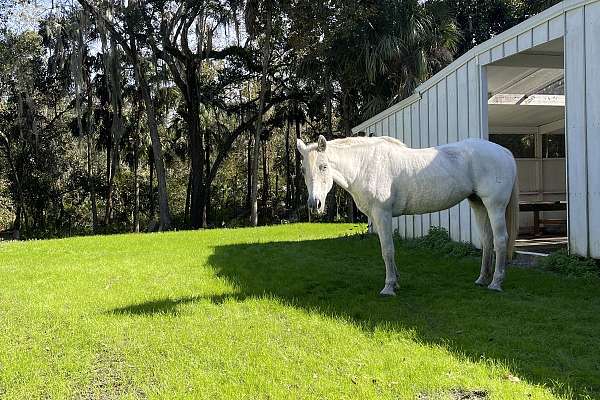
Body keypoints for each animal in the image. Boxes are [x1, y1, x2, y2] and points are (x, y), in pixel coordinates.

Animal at [298, 136, 516, 296]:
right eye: (303, 170)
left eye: (324, 166)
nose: (314, 204)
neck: (366, 164)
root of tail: (504, 152)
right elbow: (388, 249)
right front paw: (396, 282)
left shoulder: (382, 214)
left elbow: (387, 250)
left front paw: (388, 287)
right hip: (478, 203)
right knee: (487, 240)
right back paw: (482, 279)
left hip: (494, 205)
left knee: (500, 240)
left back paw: (495, 283)